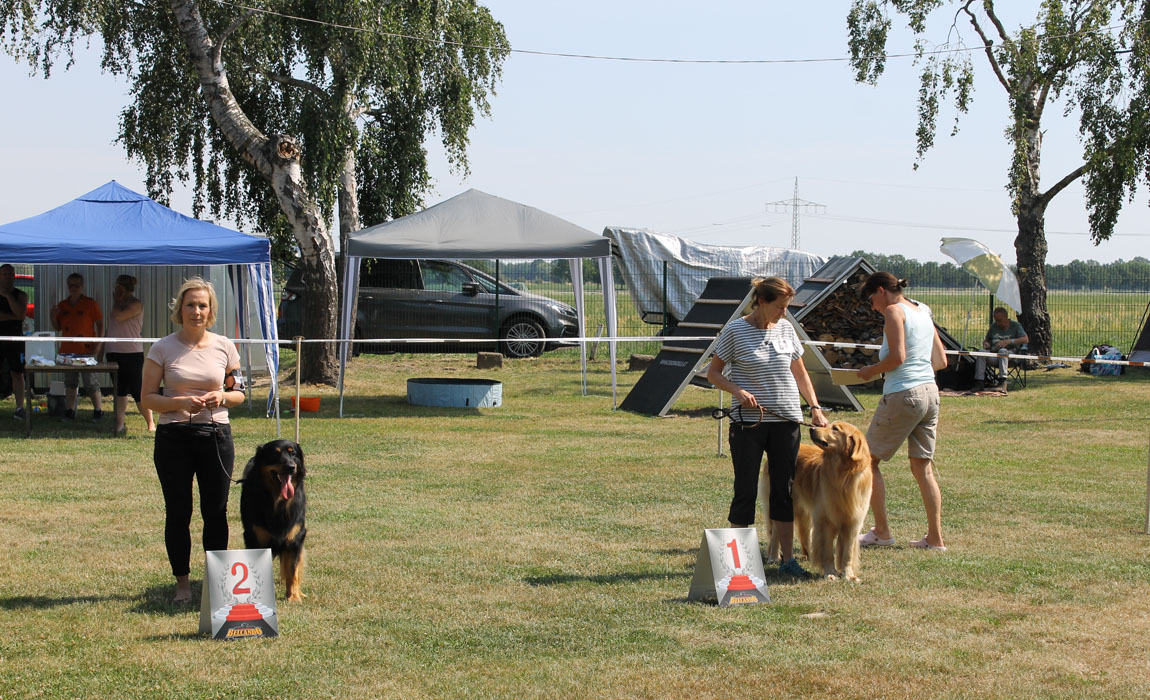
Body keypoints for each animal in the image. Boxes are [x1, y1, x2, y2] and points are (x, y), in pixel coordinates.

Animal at [240, 439, 308, 597]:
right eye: (274, 454)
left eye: (293, 453)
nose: (291, 467)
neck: (278, 501)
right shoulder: (255, 539)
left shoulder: (295, 537)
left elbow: (292, 570)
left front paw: (293, 596)